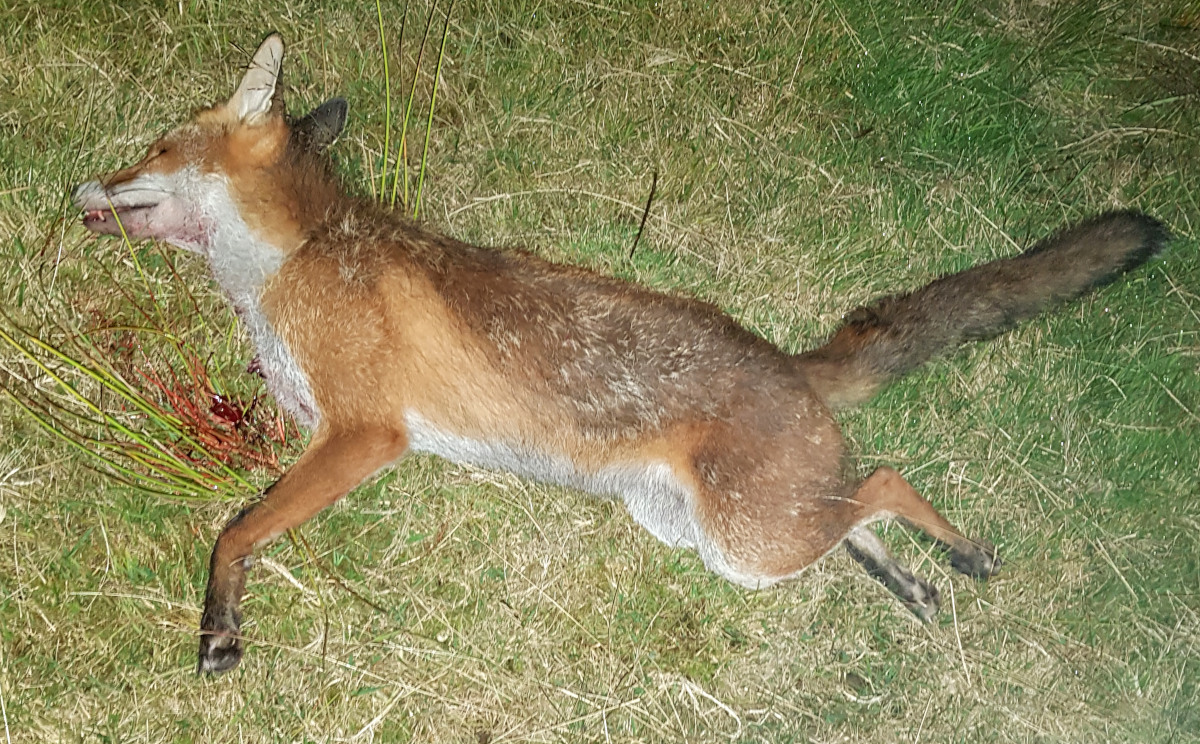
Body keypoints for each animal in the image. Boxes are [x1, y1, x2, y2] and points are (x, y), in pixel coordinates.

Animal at [70, 34, 1166, 672]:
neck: (296, 257)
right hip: (716, 533)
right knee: (858, 510)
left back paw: (960, 553)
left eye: (156, 150)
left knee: (887, 480)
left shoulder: (364, 434)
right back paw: (916, 580)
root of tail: (788, 361)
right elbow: (246, 515)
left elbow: (237, 530)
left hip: (742, 538)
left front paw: (219, 625)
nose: (84, 185)